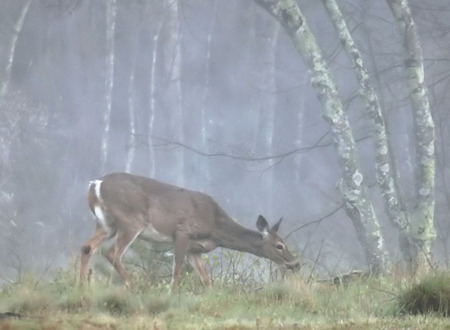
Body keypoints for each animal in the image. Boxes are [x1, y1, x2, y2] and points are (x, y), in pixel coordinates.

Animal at [80, 173, 298, 288]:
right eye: (280, 245)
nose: (295, 263)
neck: (215, 228)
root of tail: (96, 184)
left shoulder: (195, 249)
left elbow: (206, 279)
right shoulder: (183, 232)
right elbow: (177, 269)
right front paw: (172, 293)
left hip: (106, 224)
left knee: (87, 247)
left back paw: (81, 285)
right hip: (131, 220)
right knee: (112, 253)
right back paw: (134, 287)